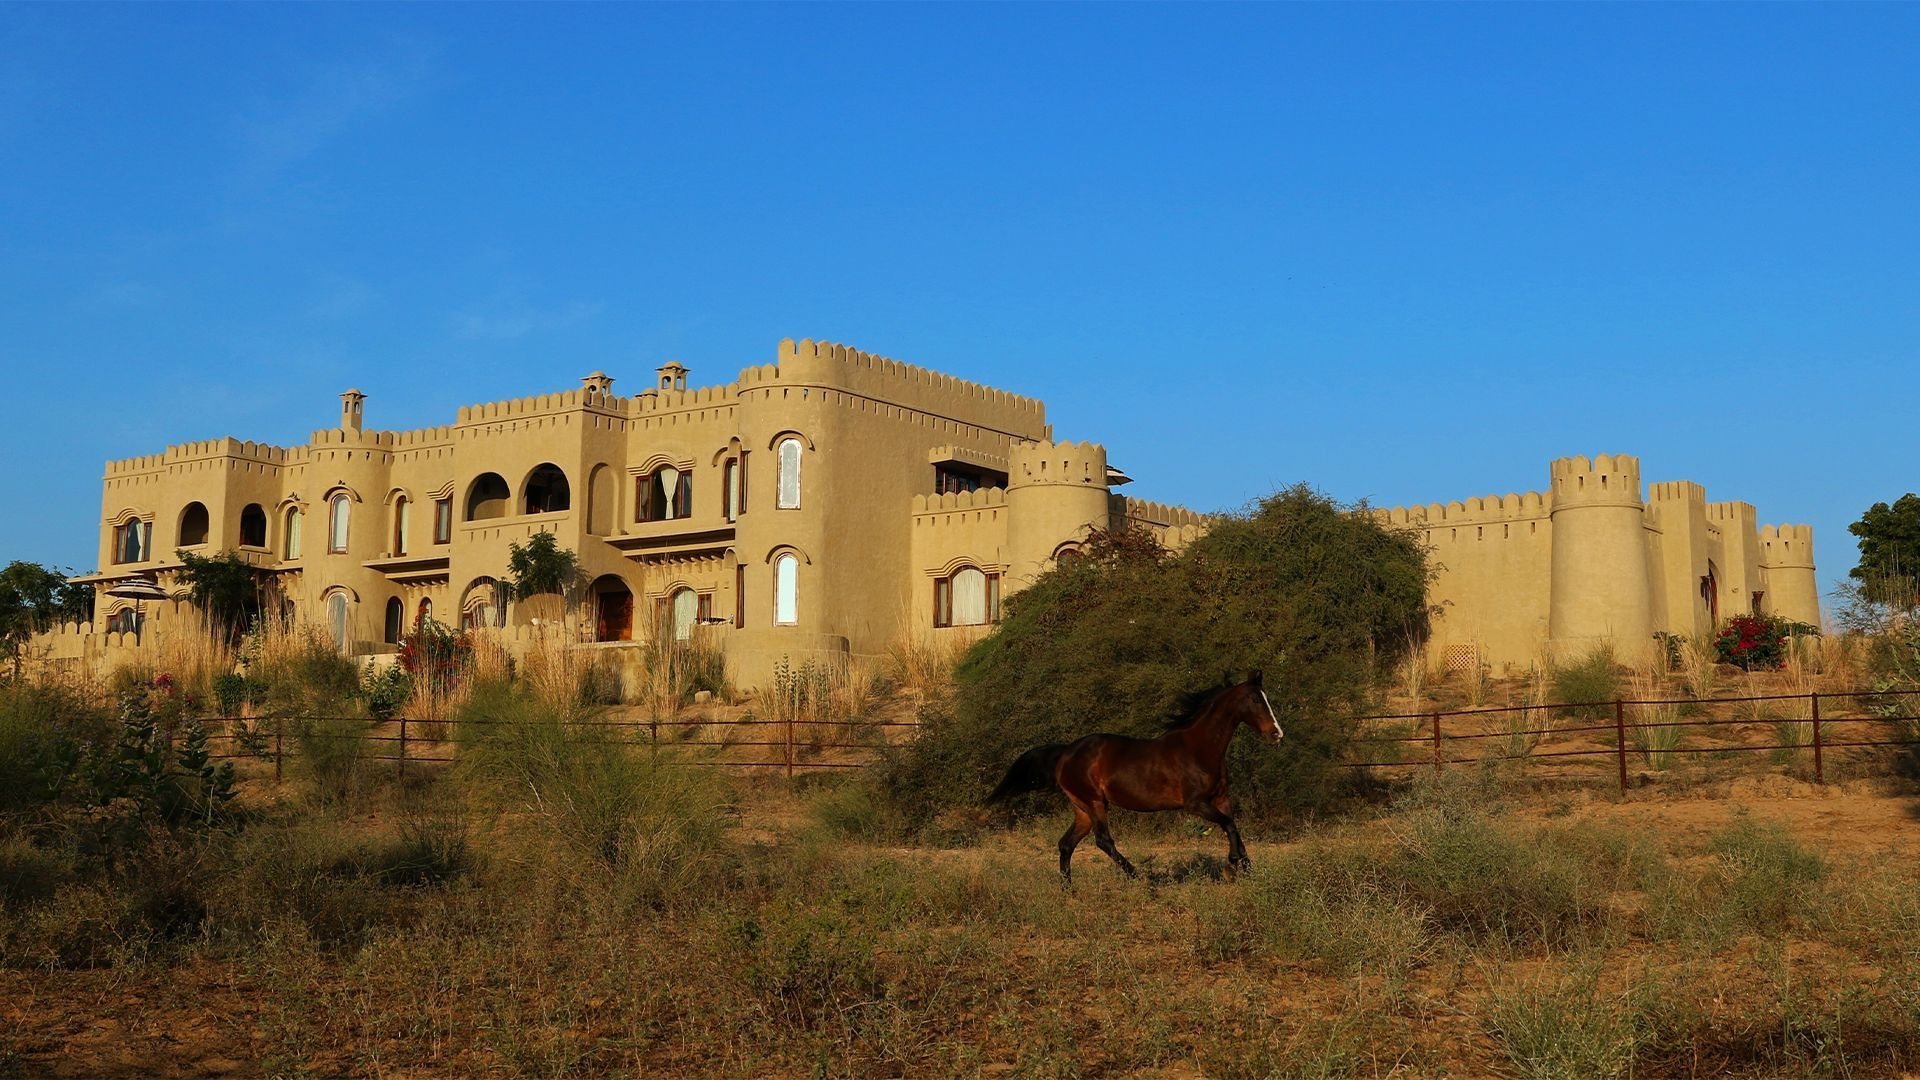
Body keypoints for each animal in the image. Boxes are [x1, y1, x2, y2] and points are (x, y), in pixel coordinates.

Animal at [987, 672, 1283, 882]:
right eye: (1256, 700)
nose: (1277, 734)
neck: (1199, 749)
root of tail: (1066, 752)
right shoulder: (1195, 804)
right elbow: (1229, 826)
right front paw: (1232, 864)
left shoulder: (1221, 798)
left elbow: (1234, 828)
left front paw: (1246, 867)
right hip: (1095, 803)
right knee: (1103, 840)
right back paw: (1138, 876)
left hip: (1082, 809)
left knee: (1066, 844)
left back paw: (1068, 889)